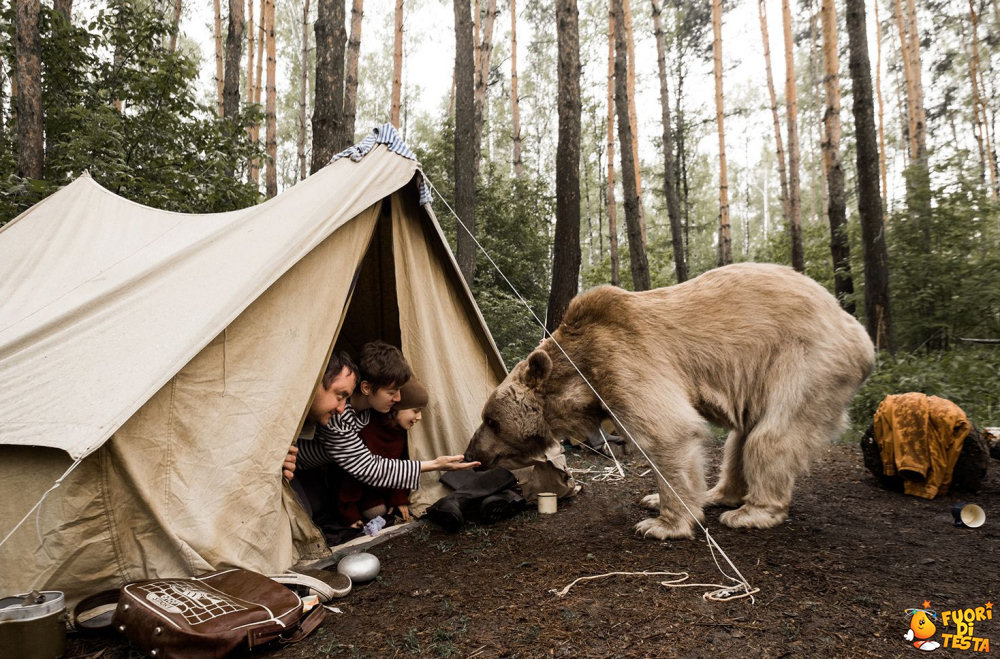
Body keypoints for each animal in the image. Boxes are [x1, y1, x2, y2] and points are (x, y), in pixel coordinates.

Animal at [464, 262, 872, 540]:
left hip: (804, 362)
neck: (580, 373)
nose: (471, 453)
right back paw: (717, 494)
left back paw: (751, 512)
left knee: (772, 436)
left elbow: (668, 432)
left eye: (491, 419)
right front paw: (655, 501)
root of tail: (857, 330)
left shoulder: (624, 361)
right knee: (741, 439)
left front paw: (660, 523)